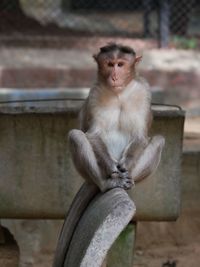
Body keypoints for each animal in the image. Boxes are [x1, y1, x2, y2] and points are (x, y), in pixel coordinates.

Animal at [52, 43, 164, 266]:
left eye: (120, 64)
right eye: (109, 64)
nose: (114, 76)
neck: (120, 93)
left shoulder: (143, 91)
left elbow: (140, 136)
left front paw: (124, 167)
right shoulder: (95, 92)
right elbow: (93, 134)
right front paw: (114, 169)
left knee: (158, 141)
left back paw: (127, 181)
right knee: (76, 136)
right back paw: (108, 183)